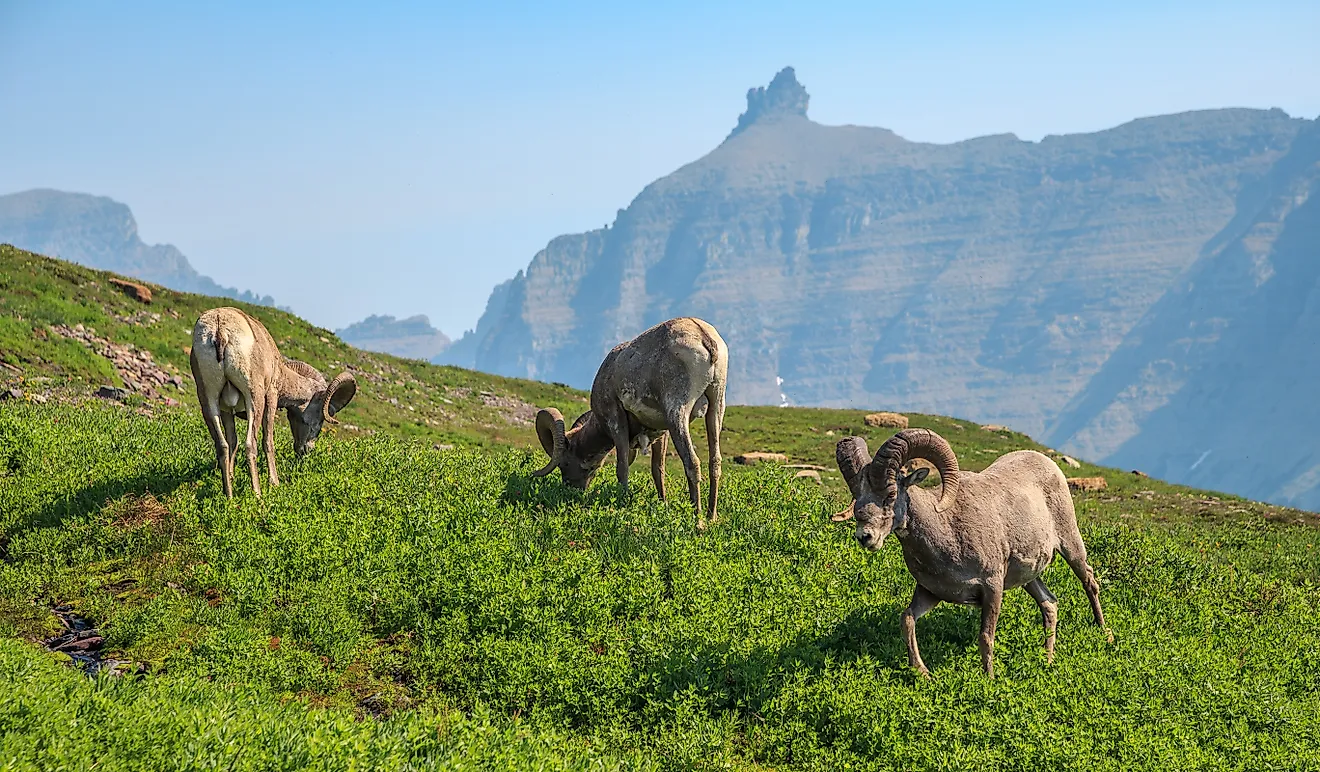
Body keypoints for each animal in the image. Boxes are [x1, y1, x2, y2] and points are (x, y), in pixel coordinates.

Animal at [189, 307, 358, 498]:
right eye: (320, 419)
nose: (306, 450)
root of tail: (220, 330)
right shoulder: (271, 397)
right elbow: (268, 441)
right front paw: (274, 483)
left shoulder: (226, 410)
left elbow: (233, 442)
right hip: (254, 400)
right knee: (251, 444)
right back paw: (257, 494)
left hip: (208, 400)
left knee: (222, 446)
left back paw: (229, 497)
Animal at [532, 317, 728, 529]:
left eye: (564, 463)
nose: (571, 489)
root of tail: (704, 337)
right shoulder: (661, 431)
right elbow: (658, 469)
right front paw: (663, 504)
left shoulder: (616, 421)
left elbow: (622, 467)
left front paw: (623, 503)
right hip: (716, 405)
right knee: (714, 462)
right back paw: (711, 516)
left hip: (678, 412)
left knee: (692, 461)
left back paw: (697, 520)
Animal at [833, 428, 1109, 677]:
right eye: (857, 495)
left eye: (890, 494)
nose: (865, 537)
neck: (948, 532)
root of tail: (1046, 462)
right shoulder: (931, 592)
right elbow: (907, 619)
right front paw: (923, 672)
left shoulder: (992, 588)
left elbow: (986, 637)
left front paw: (989, 680)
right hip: (1029, 578)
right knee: (1049, 604)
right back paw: (1048, 660)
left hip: (1071, 545)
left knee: (1089, 581)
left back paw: (1105, 635)